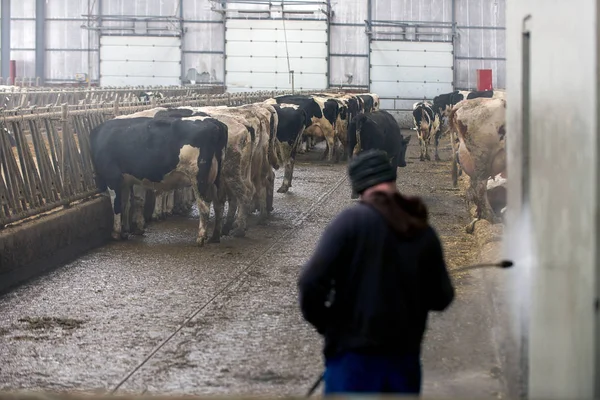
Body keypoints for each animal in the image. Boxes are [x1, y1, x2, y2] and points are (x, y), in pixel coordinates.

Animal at [90, 115, 229, 245]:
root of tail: (213, 122)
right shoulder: (126, 180)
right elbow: (127, 204)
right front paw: (127, 231)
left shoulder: (113, 177)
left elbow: (117, 205)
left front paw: (116, 233)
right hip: (216, 179)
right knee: (219, 204)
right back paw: (215, 236)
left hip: (198, 178)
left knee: (204, 206)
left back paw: (201, 237)